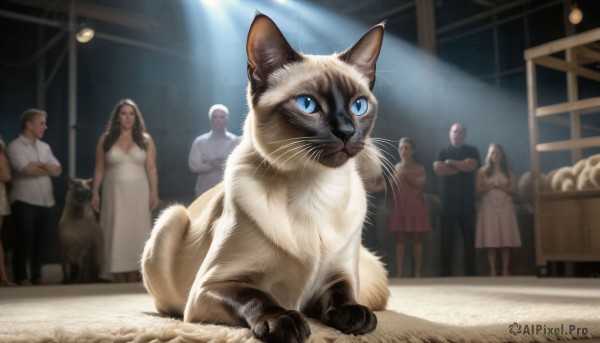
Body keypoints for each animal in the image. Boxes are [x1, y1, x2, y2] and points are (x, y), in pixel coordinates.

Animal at [144, 13, 392, 343]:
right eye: (308, 105)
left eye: (359, 106)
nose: (346, 132)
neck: (313, 188)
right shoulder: (213, 286)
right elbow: (257, 297)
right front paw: (286, 322)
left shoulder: (338, 276)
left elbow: (344, 296)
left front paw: (355, 317)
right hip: (171, 218)